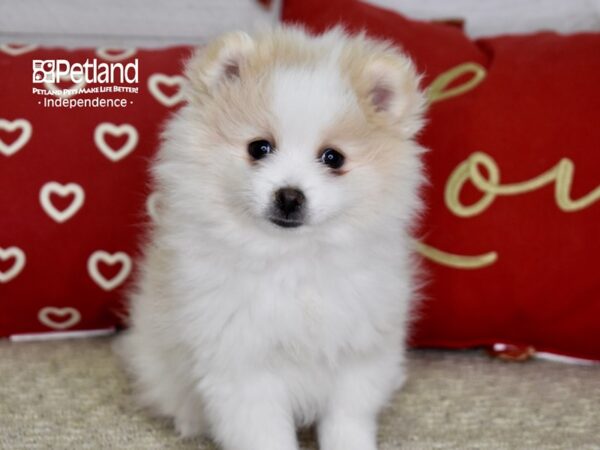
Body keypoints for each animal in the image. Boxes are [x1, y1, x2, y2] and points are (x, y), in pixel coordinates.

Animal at [117, 25, 426, 450]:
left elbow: (347, 419)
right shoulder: (243, 365)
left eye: (333, 158)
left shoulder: (359, 354)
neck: (291, 260)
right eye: (259, 148)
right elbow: (264, 432)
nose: (290, 196)